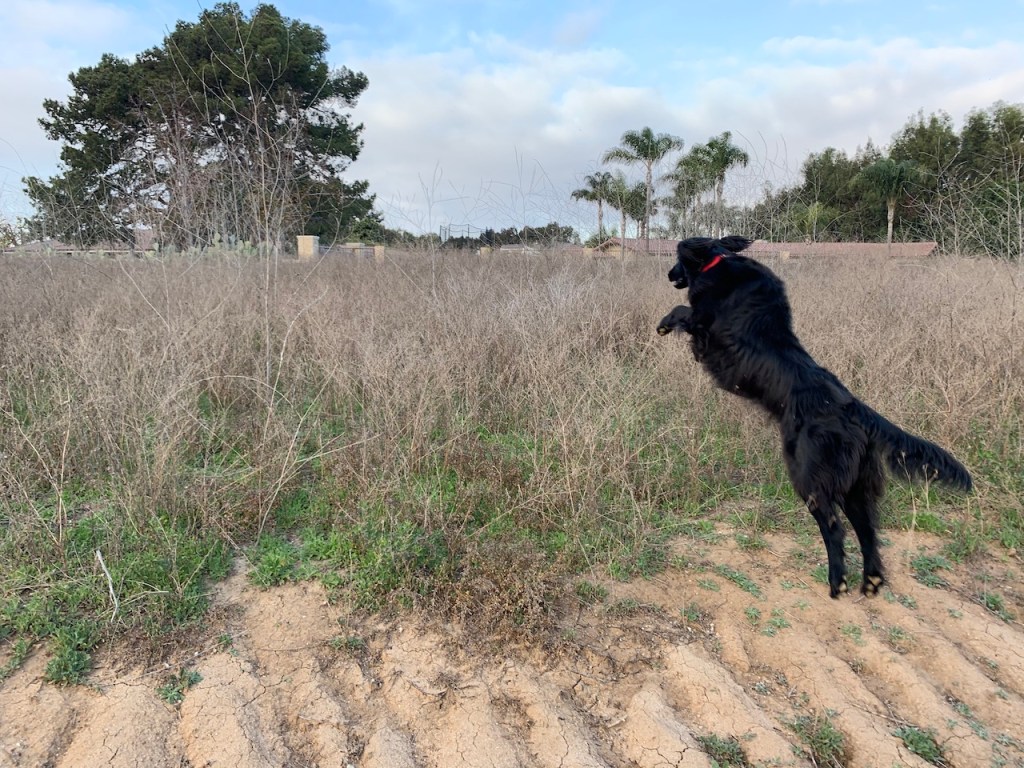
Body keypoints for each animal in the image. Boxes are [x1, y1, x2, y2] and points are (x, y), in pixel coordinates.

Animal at [657, 236, 972, 597]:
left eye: (677, 259)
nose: (669, 274)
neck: (719, 263)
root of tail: (855, 410)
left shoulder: (705, 325)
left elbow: (683, 311)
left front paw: (664, 323)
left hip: (810, 475)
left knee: (835, 529)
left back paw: (838, 583)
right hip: (854, 484)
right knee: (868, 531)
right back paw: (871, 580)